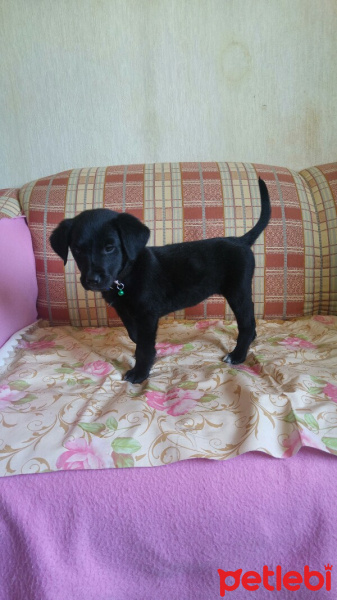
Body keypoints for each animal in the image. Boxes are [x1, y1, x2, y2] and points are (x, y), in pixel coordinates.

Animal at [50, 178, 270, 384]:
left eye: (110, 248)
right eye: (77, 250)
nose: (92, 280)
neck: (125, 276)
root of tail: (241, 240)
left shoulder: (147, 315)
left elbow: (144, 345)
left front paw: (140, 372)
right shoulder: (125, 313)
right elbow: (135, 337)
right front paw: (147, 355)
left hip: (237, 291)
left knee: (247, 323)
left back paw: (238, 355)